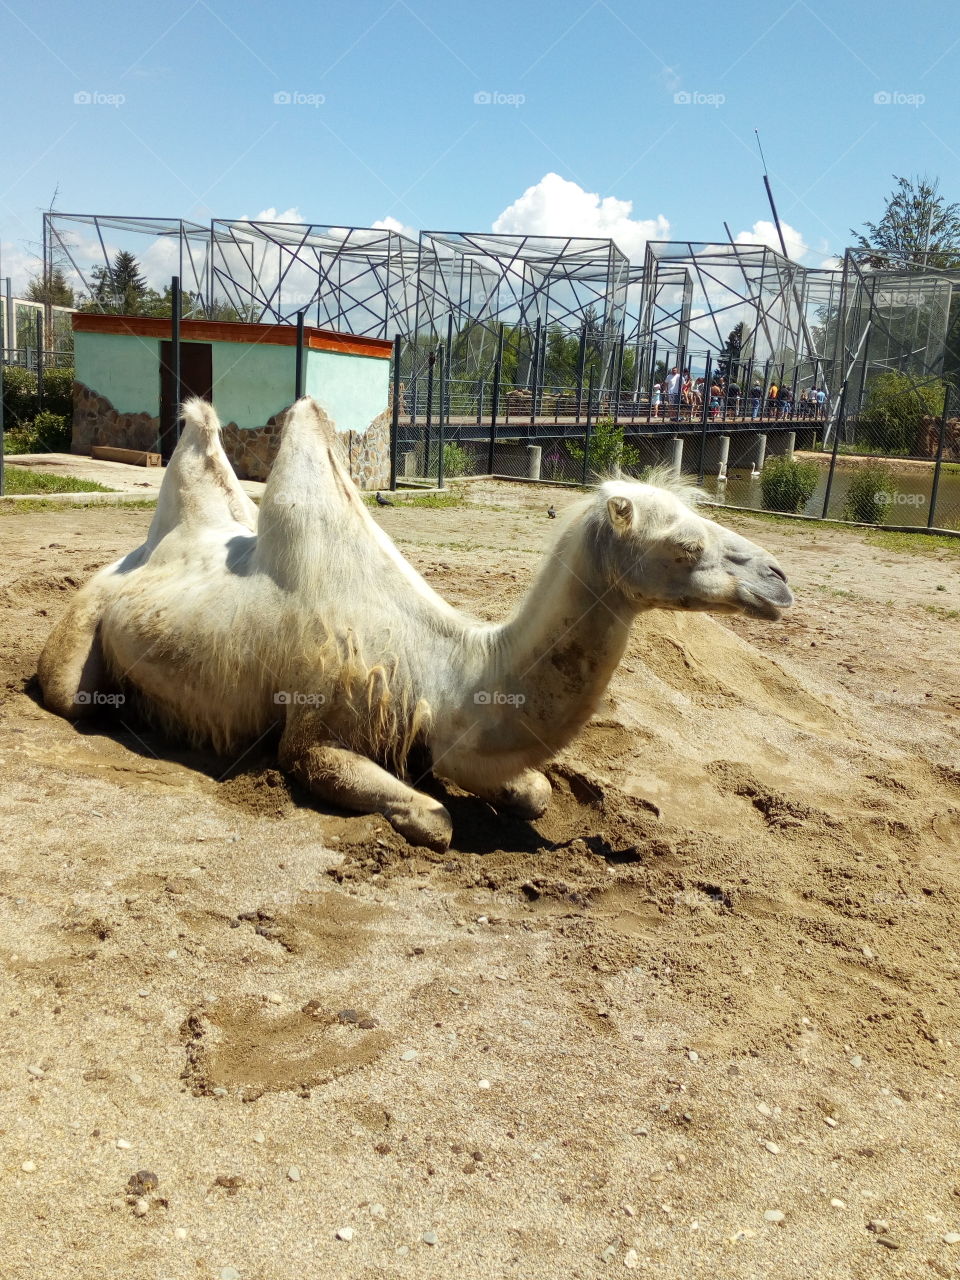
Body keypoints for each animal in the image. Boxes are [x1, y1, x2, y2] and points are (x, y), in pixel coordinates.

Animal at [38, 397, 793, 851]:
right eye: (684, 545)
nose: (780, 581)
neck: (444, 673)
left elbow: (537, 791)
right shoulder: (315, 735)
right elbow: (435, 818)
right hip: (82, 625)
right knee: (73, 696)